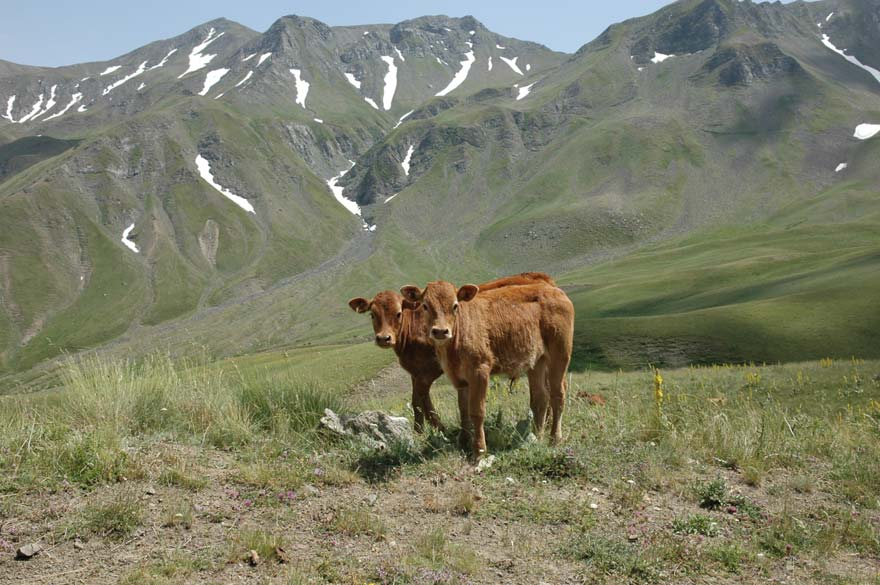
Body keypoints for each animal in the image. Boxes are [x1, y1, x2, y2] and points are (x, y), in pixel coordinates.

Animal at [348, 272, 552, 432]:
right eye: (372, 314)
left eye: (398, 313)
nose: (384, 338)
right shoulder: (415, 371)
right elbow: (419, 401)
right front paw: (424, 429)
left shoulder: (429, 370)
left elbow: (420, 401)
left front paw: (433, 430)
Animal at [400, 280, 576, 458]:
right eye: (425, 305)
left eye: (455, 306)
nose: (441, 331)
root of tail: (556, 291)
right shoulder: (459, 378)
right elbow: (463, 409)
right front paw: (463, 441)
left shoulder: (480, 371)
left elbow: (477, 411)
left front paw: (479, 450)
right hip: (537, 361)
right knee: (541, 397)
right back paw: (536, 437)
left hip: (560, 355)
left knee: (558, 395)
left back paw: (554, 439)